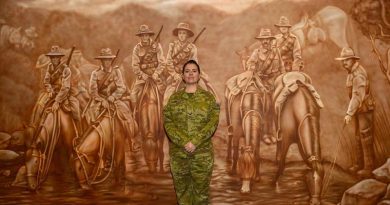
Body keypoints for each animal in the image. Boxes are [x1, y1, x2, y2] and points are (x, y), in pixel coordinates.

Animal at [272, 71, 324, 205]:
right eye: (312, 178)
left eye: (322, 176)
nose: (315, 202)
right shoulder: (285, 140)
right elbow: (281, 165)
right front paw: (275, 184)